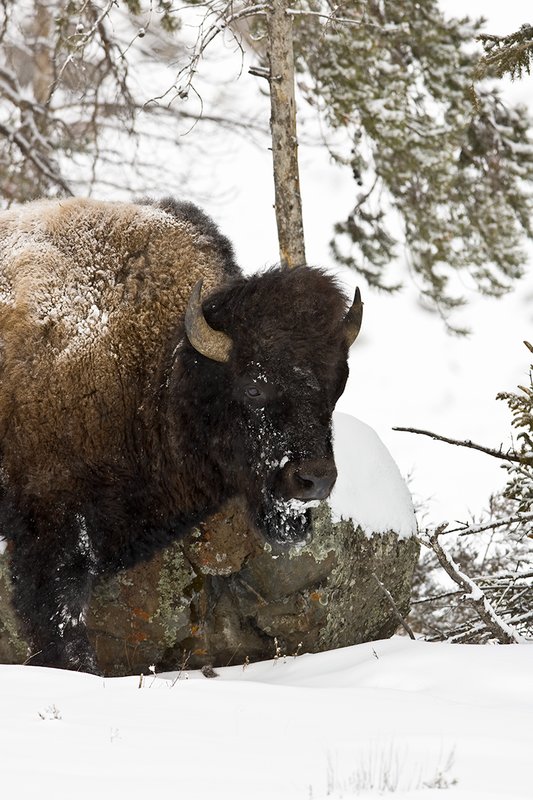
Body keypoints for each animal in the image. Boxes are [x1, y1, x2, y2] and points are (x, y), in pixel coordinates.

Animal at [0, 196, 362, 673]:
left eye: (338, 385)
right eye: (254, 386)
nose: (314, 479)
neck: (160, 365)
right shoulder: (51, 525)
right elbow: (58, 617)